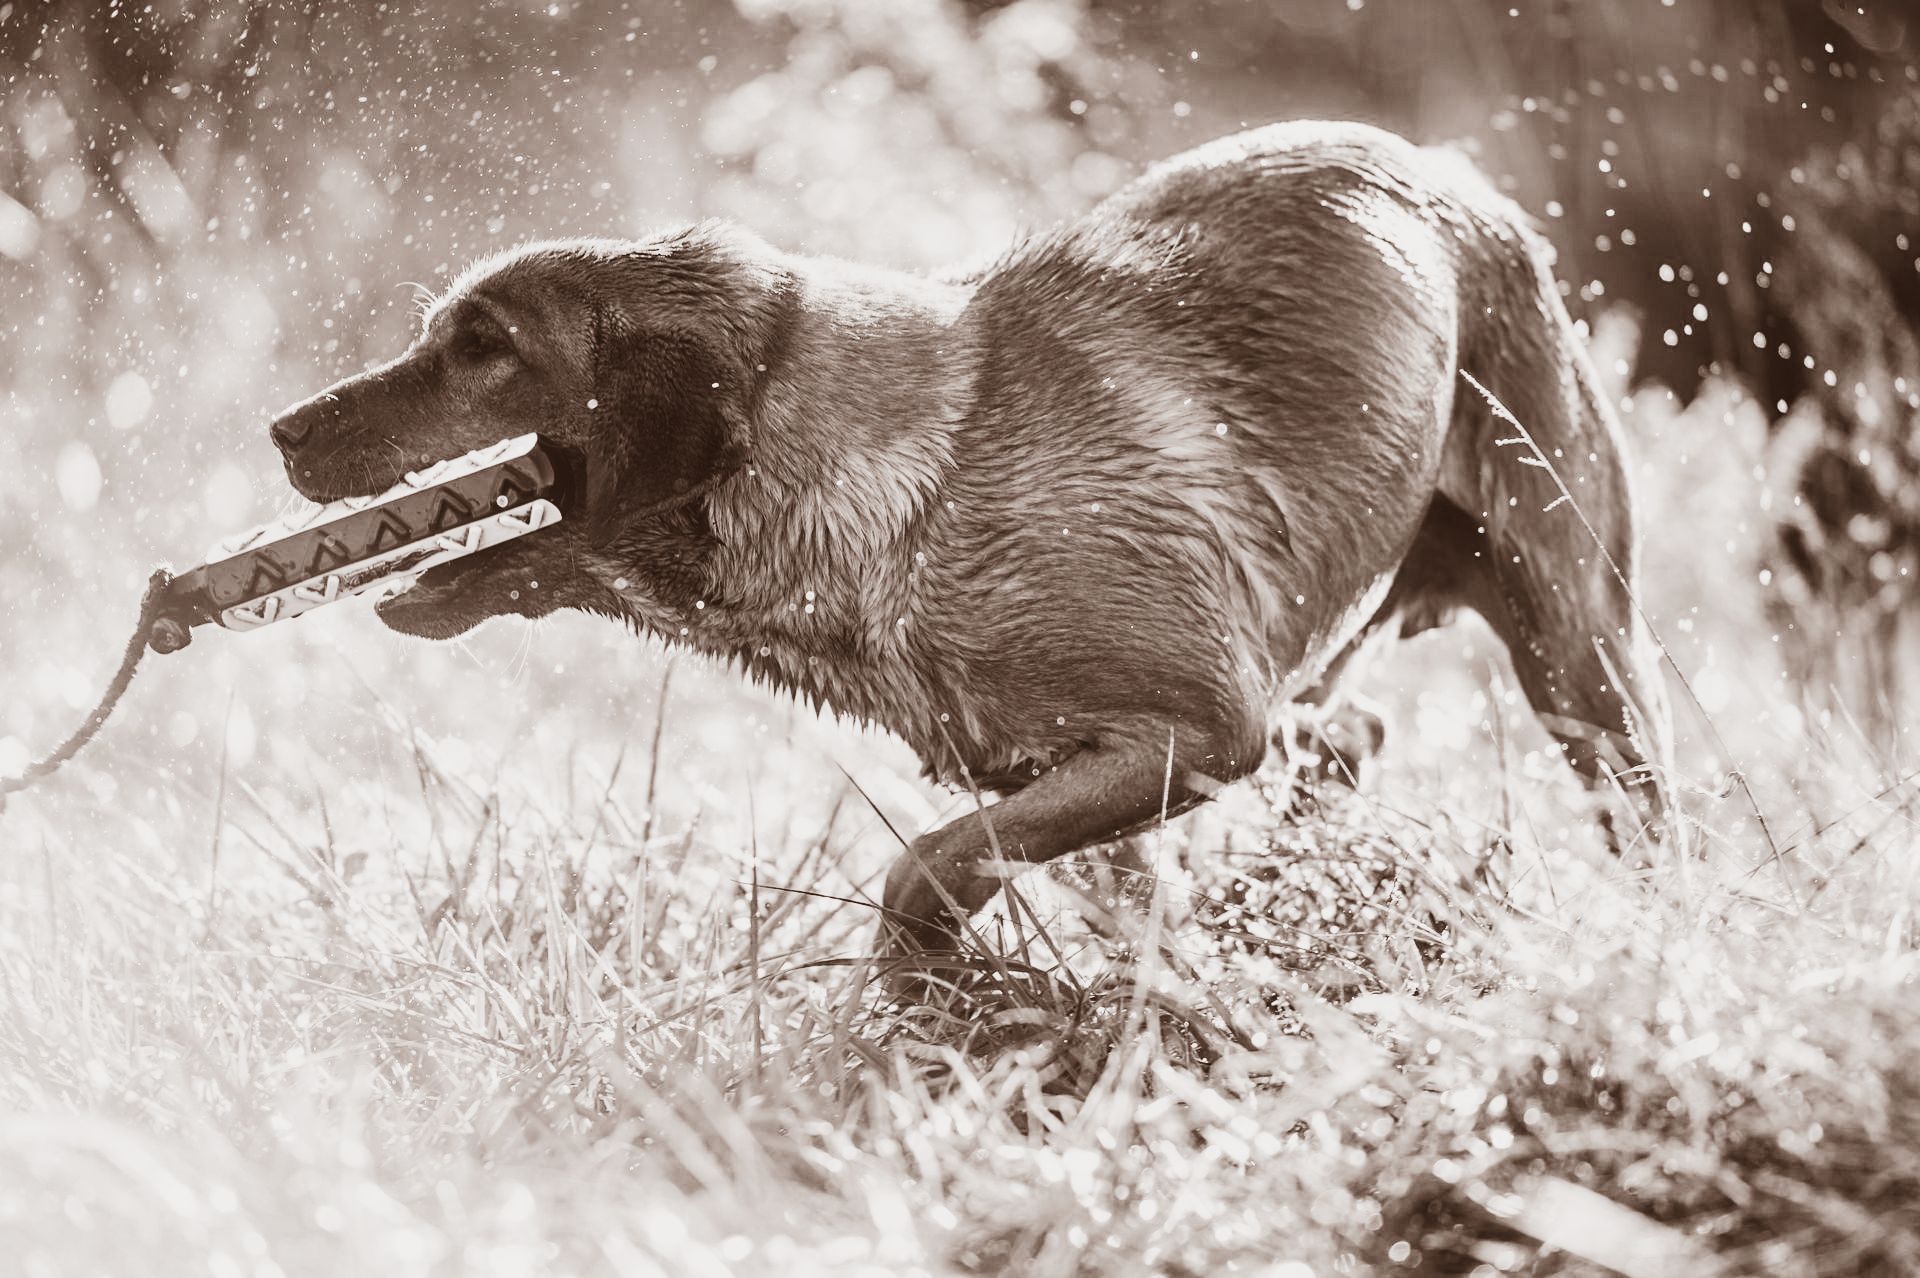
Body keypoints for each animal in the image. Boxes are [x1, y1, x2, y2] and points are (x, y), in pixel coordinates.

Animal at [266, 119, 1666, 951]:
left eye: (483, 347)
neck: (903, 489)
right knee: (1351, 733)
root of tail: (1455, 170)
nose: (281, 431)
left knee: (1639, 805)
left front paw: (930, 982)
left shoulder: (1205, 725)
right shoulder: (1096, 764)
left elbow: (929, 867)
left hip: (1578, 645)